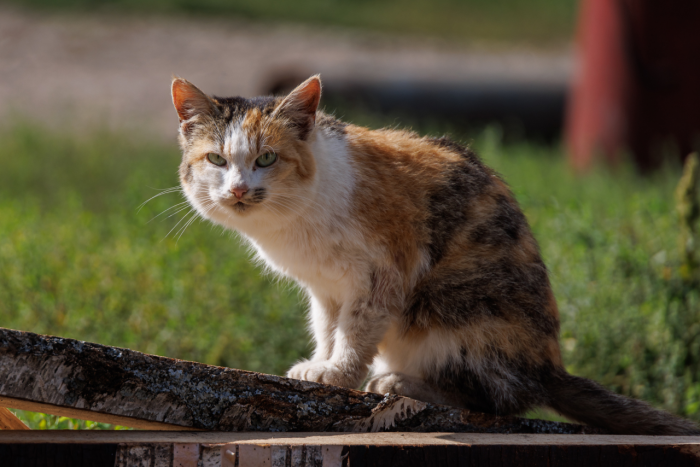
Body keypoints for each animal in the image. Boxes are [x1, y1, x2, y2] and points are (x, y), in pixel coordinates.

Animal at [171, 73, 700, 436]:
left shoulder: (384, 270)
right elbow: (327, 327)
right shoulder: (325, 288)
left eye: (266, 158)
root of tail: (549, 369)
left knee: (495, 397)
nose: (239, 190)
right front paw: (320, 364)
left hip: (451, 302)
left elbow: (356, 330)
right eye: (216, 159)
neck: (296, 219)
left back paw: (400, 383)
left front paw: (339, 374)